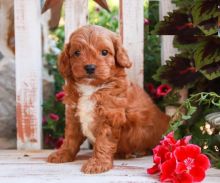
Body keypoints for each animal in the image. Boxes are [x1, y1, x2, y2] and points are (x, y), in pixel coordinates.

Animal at [47, 25, 169, 174]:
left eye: (104, 52)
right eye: (77, 52)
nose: (90, 67)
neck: (92, 88)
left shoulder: (110, 116)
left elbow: (103, 141)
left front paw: (97, 163)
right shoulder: (74, 115)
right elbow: (70, 138)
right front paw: (62, 154)